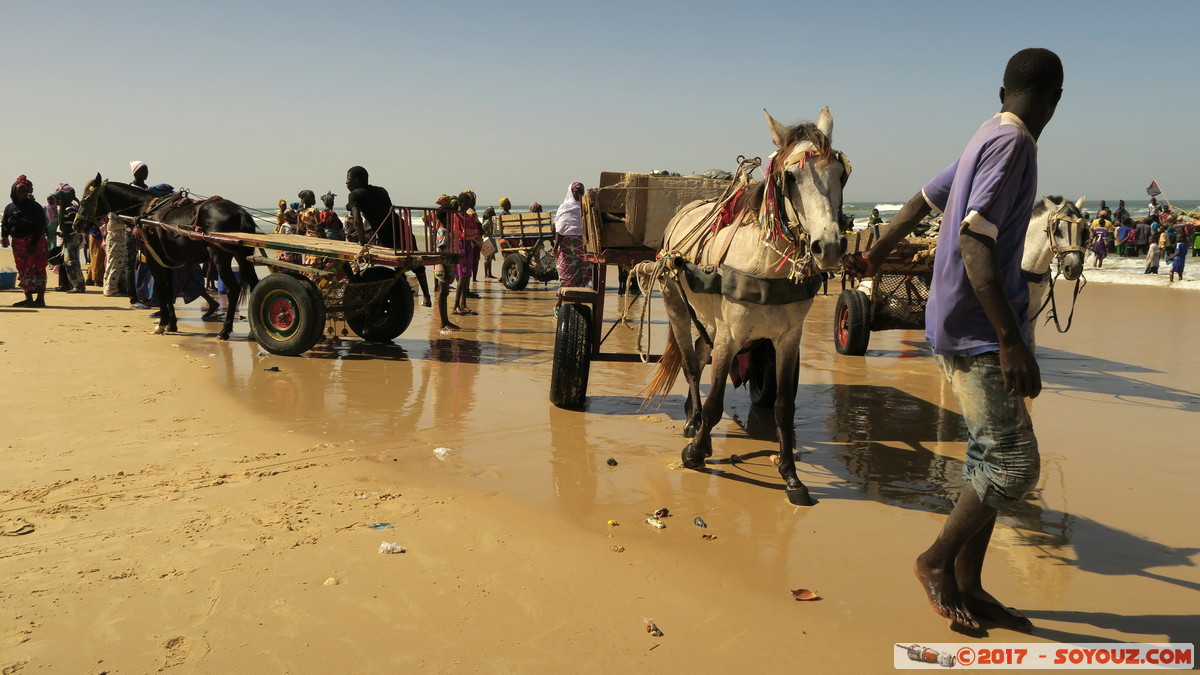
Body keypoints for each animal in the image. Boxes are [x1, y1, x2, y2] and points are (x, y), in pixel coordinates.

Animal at [76, 174, 259, 336]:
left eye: (85, 199)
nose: (76, 224)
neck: (146, 210)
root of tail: (241, 213)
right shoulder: (167, 260)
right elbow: (170, 289)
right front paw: (172, 324)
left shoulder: (154, 258)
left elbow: (161, 287)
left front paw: (162, 324)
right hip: (244, 257)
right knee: (254, 285)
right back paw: (253, 331)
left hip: (220, 258)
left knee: (234, 289)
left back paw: (225, 331)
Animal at [643, 107, 849, 502]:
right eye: (791, 176)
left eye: (842, 174)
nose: (828, 247)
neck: (765, 263)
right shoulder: (729, 336)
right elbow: (715, 402)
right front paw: (695, 452)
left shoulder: (788, 340)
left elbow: (783, 407)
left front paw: (791, 476)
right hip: (676, 305)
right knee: (691, 366)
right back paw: (693, 423)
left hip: (708, 320)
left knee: (698, 353)